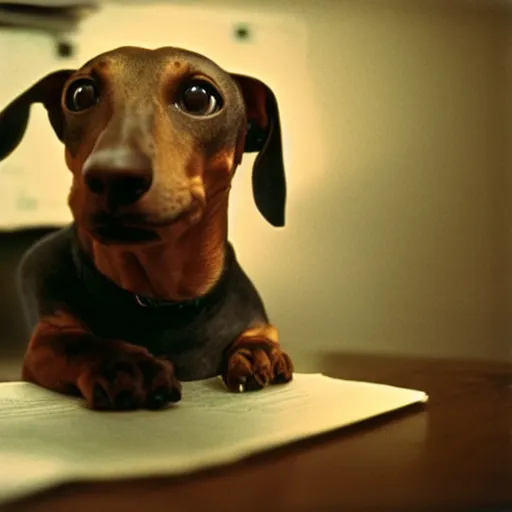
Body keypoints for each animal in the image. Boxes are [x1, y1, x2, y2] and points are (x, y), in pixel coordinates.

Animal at [0, 46, 292, 410]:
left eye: (199, 97)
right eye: (80, 94)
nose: (112, 177)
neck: (162, 302)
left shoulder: (253, 317)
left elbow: (262, 332)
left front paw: (258, 353)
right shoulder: (44, 342)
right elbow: (77, 342)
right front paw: (126, 363)